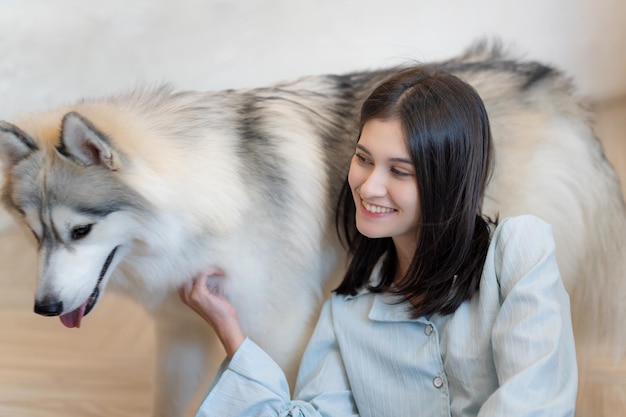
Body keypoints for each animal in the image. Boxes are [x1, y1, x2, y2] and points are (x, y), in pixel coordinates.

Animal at [1, 44, 624, 414]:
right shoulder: (179, 334)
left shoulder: (279, 330)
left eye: (80, 232)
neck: (206, 194)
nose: (44, 309)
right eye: (36, 234)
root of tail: (550, 81)